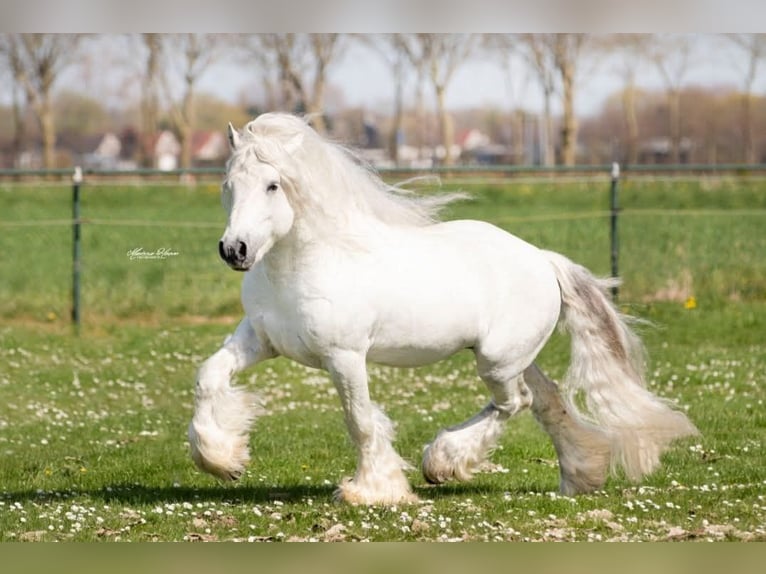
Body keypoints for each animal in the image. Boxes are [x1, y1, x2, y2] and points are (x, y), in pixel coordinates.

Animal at [187, 112, 698, 505]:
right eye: (229, 184)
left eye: (273, 185)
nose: (235, 250)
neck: (304, 266)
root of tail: (542, 260)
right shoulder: (260, 339)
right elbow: (209, 375)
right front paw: (222, 460)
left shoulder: (344, 357)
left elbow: (360, 421)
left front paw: (371, 491)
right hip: (514, 358)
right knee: (546, 400)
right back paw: (580, 475)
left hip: (497, 361)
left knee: (514, 403)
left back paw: (443, 462)